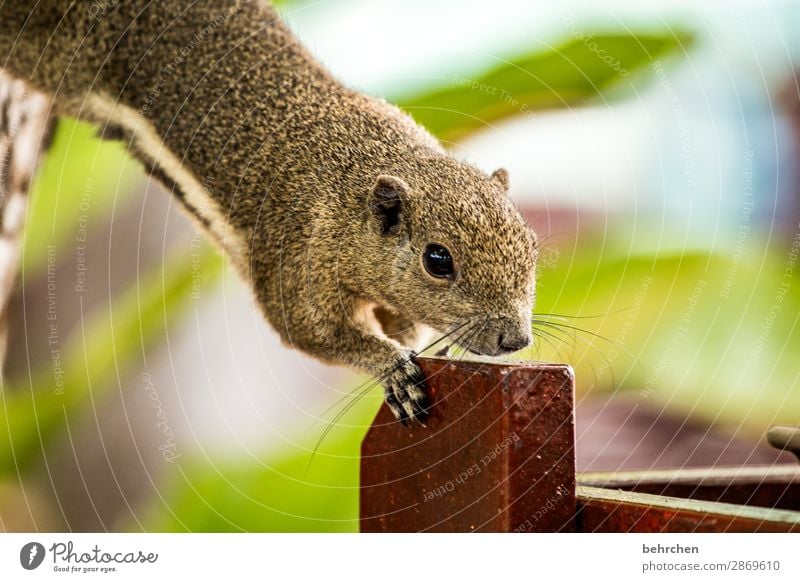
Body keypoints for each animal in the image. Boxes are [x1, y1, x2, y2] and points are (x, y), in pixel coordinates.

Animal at [1, 0, 536, 424]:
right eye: (437, 260)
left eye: (532, 247)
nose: (516, 340)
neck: (353, 184)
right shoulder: (296, 262)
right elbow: (314, 333)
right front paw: (392, 369)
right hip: (49, 55)